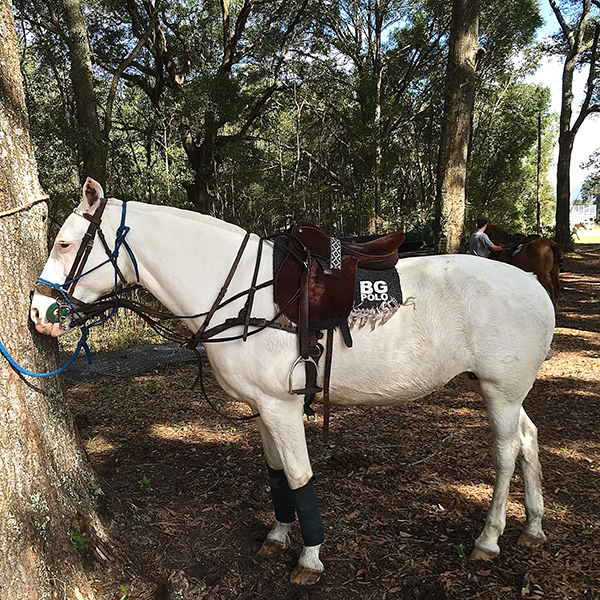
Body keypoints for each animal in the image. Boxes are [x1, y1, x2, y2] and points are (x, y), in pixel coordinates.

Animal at [29, 179, 552, 584]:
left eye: (65, 243)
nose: (38, 312)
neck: (242, 291)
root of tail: (533, 283)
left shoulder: (282, 406)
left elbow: (299, 475)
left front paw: (310, 557)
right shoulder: (264, 406)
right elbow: (276, 472)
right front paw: (279, 535)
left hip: (500, 392)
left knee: (506, 452)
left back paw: (489, 538)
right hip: (501, 390)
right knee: (529, 438)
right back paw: (533, 526)